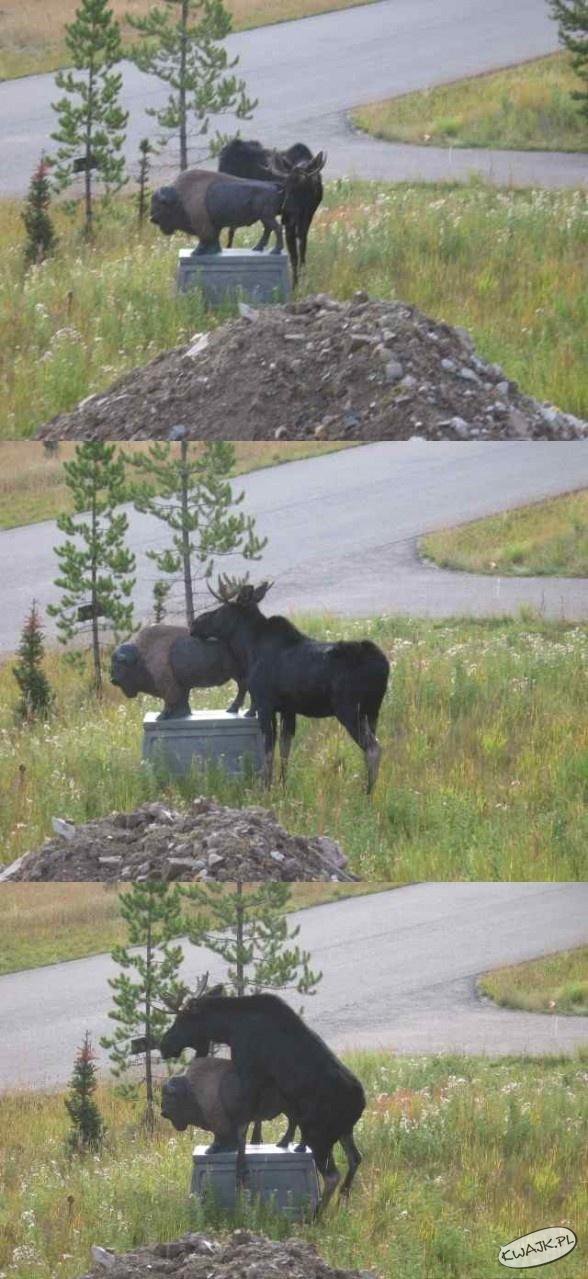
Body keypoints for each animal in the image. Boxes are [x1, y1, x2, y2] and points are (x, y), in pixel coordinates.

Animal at [109, 626, 251, 726]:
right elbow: (182, 700)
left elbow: (170, 701)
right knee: (243, 688)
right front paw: (182, 714)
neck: (142, 655)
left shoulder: (169, 686)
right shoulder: (182, 686)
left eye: (118, 665)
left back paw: (239, 711)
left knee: (246, 688)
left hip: (239, 674)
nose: (113, 680)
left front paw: (161, 717)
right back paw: (234, 710)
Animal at [158, 977, 365, 1207]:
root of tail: (361, 1104)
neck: (228, 1028)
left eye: (183, 1018)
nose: (163, 1045)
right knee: (355, 1158)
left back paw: (319, 1211)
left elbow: (243, 1125)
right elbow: (254, 1121)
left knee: (332, 1176)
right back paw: (342, 1201)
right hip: (344, 1131)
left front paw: (241, 1169)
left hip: (318, 1134)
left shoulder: (249, 1071)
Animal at [190, 578, 388, 787]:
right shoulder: (288, 709)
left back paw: (366, 792)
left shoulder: (264, 704)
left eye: (221, 609)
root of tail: (383, 666)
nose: (194, 623)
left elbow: (269, 751)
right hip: (372, 711)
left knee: (373, 748)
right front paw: (283, 786)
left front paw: (266, 787)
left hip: (349, 709)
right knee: (370, 746)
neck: (248, 649)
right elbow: (285, 750)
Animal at [217, 143, 323, 286]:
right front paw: (295, 285)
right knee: (231, 230)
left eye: (301, 186)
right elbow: (293, 255)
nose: (286, 213)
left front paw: (303, 280)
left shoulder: (308, 215)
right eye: (285, 186)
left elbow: (302, 249)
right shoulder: (290, 222)